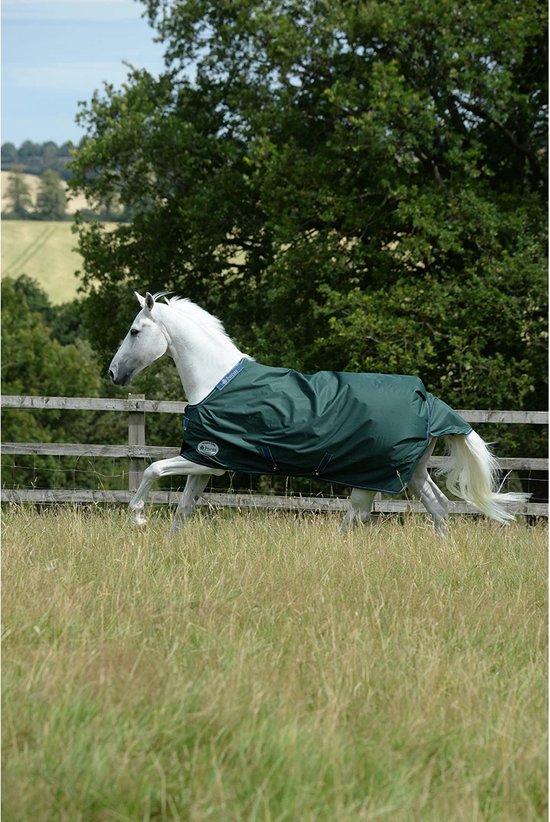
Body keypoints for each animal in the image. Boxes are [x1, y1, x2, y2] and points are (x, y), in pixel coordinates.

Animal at [109, 291, 529, 535]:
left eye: (134, 331)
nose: (114, 373)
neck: (215, 381)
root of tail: (428, 400)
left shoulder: (205, 459)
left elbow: (152, 470)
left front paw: (138, 516)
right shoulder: (206, 463)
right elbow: (182, 511)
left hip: (368, 478)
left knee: (354, 520)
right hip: (410, 472)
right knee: (439, 509)